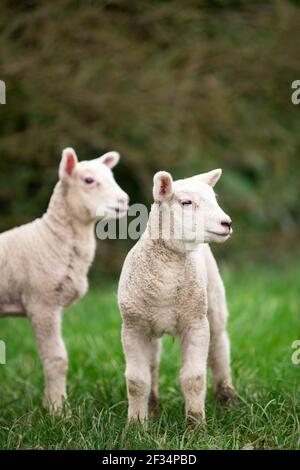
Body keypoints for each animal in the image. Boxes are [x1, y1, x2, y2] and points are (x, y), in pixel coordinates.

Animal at [0, 149, 127, 414]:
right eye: (88, 180)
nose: (124, 200)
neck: (50, 238)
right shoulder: (41, 302)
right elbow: (57, 359)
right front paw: (58, 411)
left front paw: (50, 404)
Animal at [118, 167, 236, 424]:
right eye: (186, 202)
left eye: (214, 199)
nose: (227, 223)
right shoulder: (133, 327)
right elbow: (137, 381)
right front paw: (136, 424)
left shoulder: (196, 323)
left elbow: (194, 378)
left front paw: (196, 424)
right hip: (150, 325)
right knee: (153, 364)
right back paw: (153, 405)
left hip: (213, 301)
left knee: (219, 347)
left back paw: (227, 397)